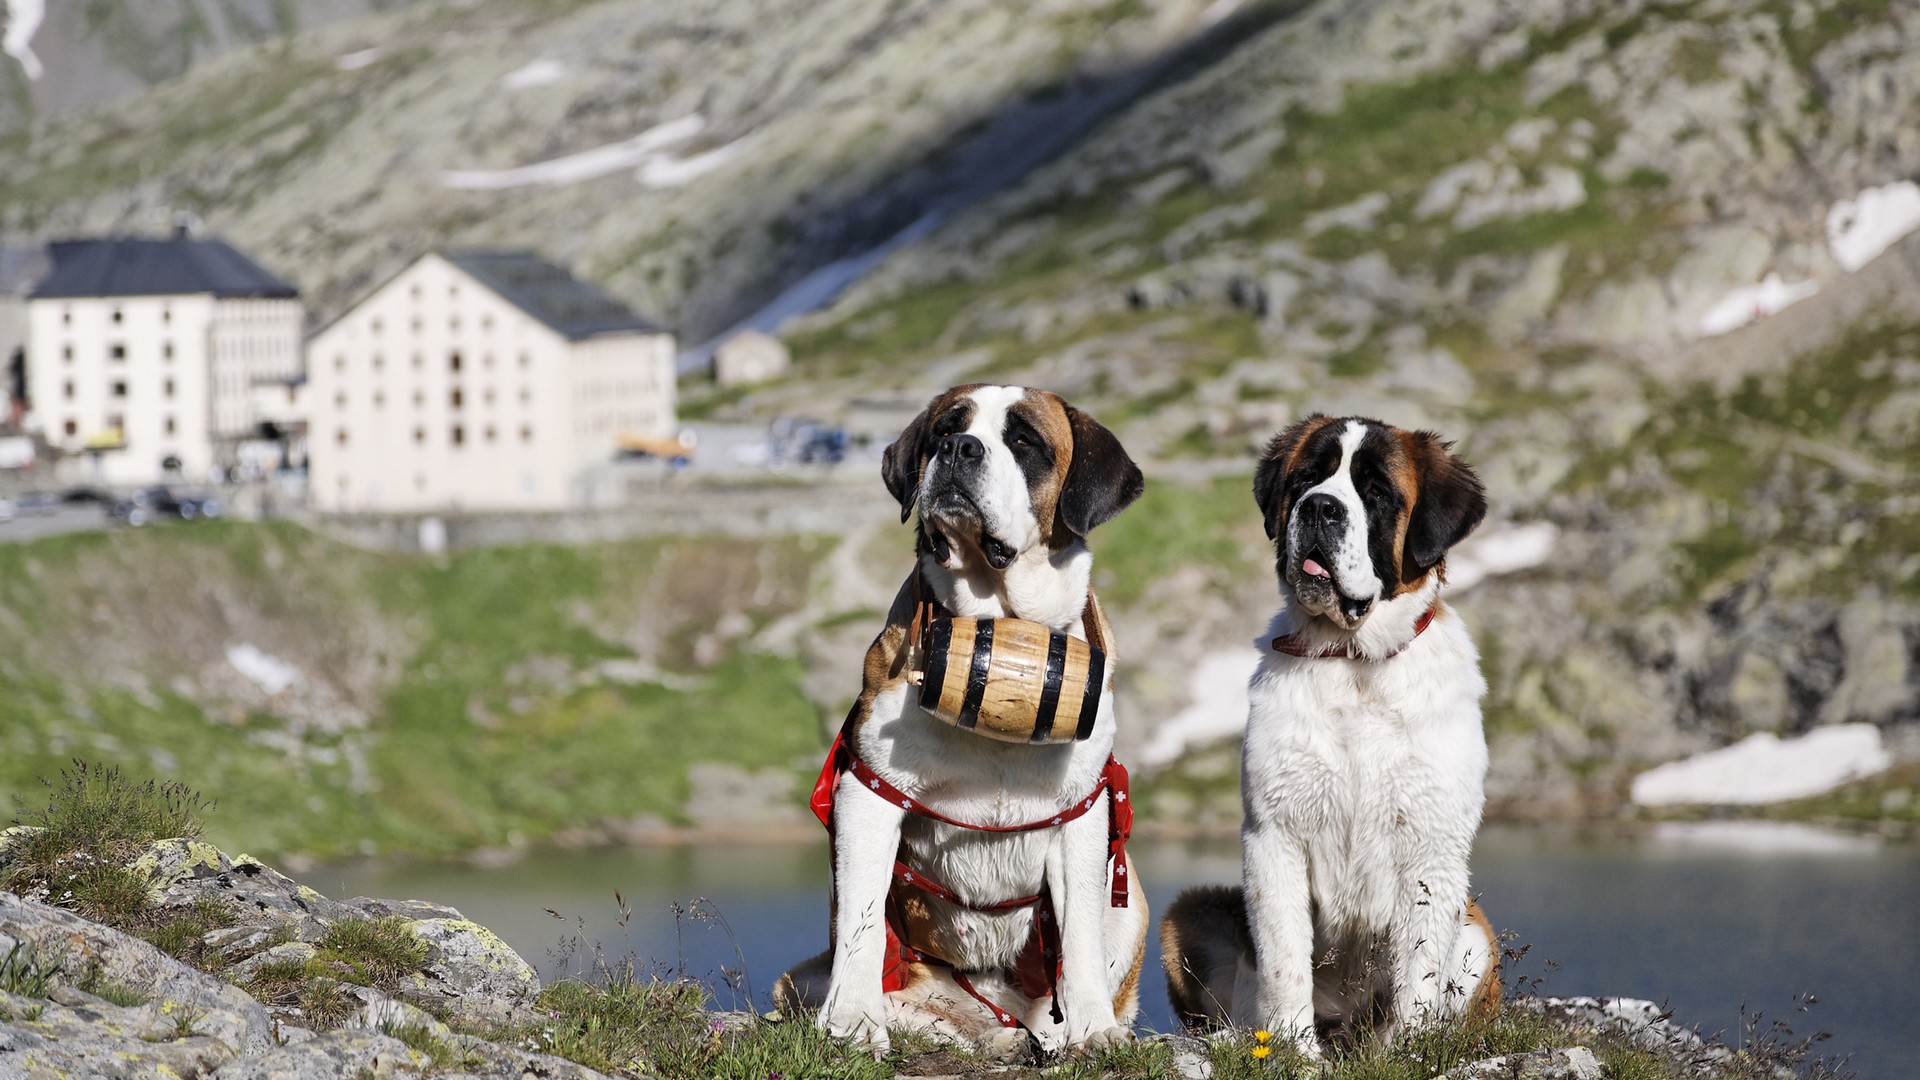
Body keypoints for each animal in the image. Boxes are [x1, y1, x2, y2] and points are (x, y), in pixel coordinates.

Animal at [775, 382, 1144, 1053]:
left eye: (1024, 440)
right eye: (946, 428)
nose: (958, 448)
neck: (997, 622)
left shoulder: (1082, 811)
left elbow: (1078, 932)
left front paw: (1094, 1030)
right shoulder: (869, 794)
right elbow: (863, 920)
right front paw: (853, 1022)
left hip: (1130, 901)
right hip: (808, 982)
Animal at [1159, 411, 1505, 1053]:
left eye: (1376, 492)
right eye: (1305, 479)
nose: (1320, 507)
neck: (1355, 663)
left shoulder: (1434, 847)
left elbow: (1418, 968)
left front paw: (1409, 1050)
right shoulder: (1273, 836)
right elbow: (1283, 956)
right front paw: (1292, 1049)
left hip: (1477, 931)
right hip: (1191, 910)